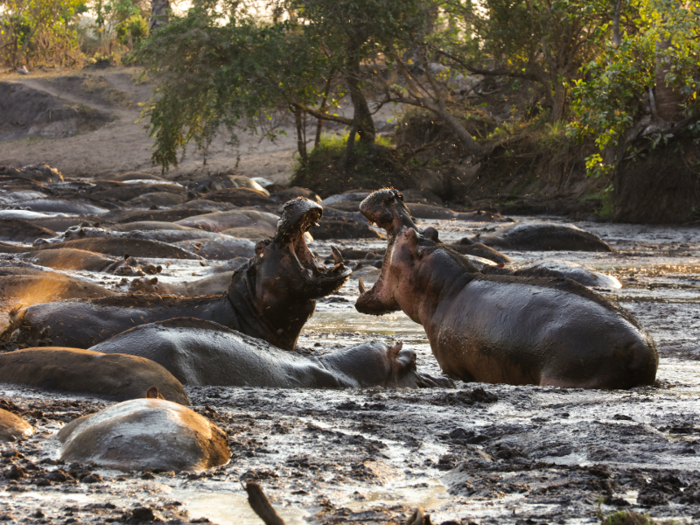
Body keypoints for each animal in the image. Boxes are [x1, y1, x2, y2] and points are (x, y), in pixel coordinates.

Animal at [356, 189, 656, 388]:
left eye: (408, 235)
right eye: (429, 232)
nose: (393, 195)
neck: (451, 287)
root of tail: (640, 348)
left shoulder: (453, 367)